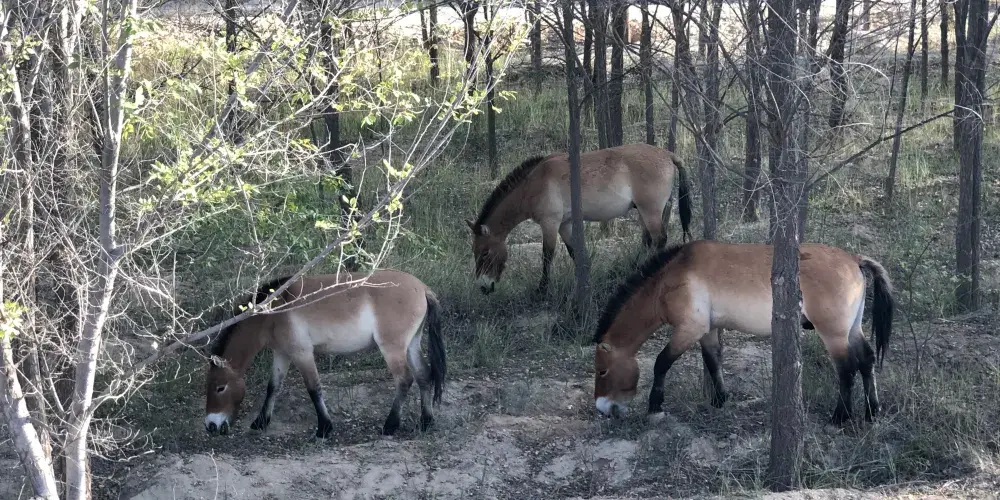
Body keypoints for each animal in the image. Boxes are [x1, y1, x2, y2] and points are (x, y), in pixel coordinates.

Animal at [203, 270, 446, 438]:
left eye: (220, 387)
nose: (210, 426)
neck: (276, 311)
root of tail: (422, 288)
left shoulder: (302, 353)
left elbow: (314, 389)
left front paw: (324, 428)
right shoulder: (282, 353)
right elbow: (273, 387)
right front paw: (261, 422)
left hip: (392, 348)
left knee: (404, 380)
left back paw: (390, 425)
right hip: (411, 344)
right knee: (424, 376)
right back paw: (426, 421)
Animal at [465, 143, 693, 295]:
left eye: (484, 253)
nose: (484, 287)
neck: (534, 183)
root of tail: (667, 154)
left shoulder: (550, 224)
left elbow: (547, 256)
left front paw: (542, 289)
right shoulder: (564, 224)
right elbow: (574, 252)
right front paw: (584, 281)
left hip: (650, 211)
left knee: (659, 240)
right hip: (645, 212)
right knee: (648, 240)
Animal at [592, 240, 894, 424]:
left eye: (602, 371)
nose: (603, 409)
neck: (670, 279)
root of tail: (854, 259)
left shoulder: (689, 329)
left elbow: (661, 362)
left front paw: (655, 406)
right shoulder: (708, 330)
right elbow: (713, 361)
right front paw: (720, 399)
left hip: (834, 335)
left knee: (847, 370)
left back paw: (840, 417)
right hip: (852, 330)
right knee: (866, 361)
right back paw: (872, 411)